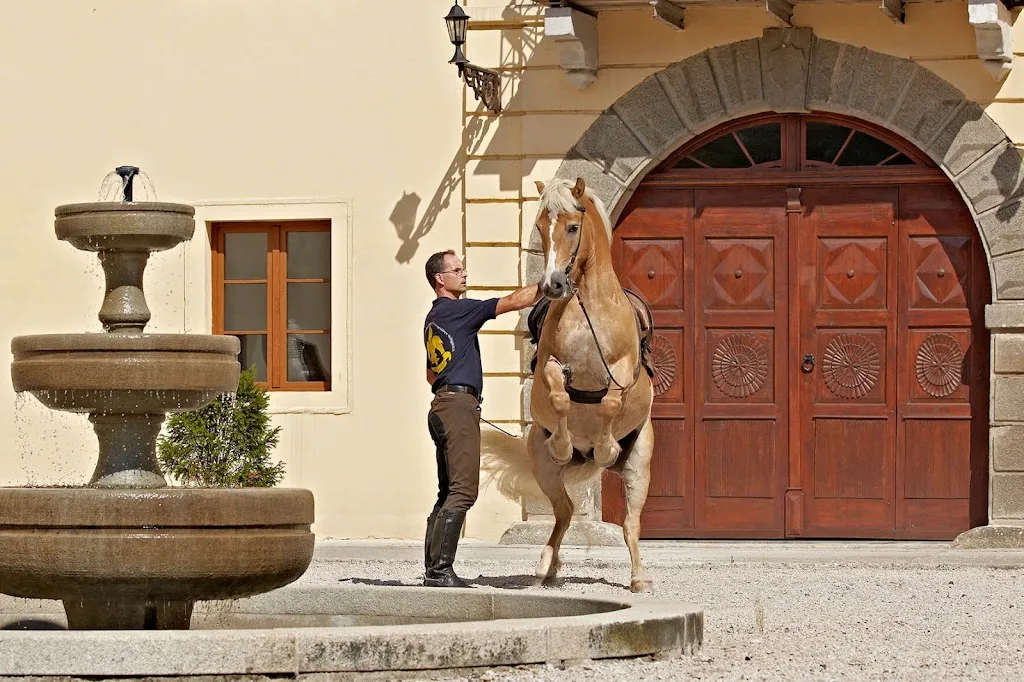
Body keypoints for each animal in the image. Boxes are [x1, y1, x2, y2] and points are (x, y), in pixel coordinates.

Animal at [484, 176, 656, 593]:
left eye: (573, 227)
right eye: (541, 227)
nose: (552, 285)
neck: (588, 309)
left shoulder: (621, 370)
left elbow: (610, 403)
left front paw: (607, 448)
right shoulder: (551, 365)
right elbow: (559, 396)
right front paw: (563, 444)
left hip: (639, 464)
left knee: (629, 524)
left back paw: (639, 578)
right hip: (544, 469)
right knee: (563, 513)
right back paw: (546, 566)